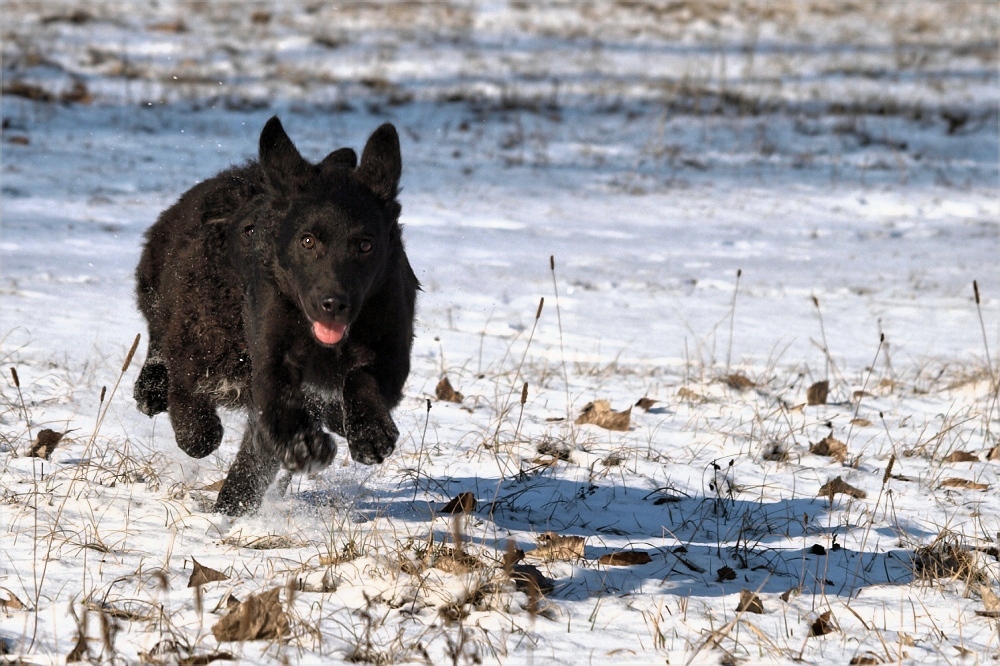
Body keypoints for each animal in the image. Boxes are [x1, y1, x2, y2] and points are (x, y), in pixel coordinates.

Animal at [135, 118, 416, 512]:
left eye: (366, 245)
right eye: (307, 241)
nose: (334, 302)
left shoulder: (392, 351)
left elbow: (359, 380)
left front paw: (369, 433)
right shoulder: (253, 361)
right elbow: (203, 423)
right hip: (157, 292)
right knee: (157, 338)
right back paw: (150, 388)